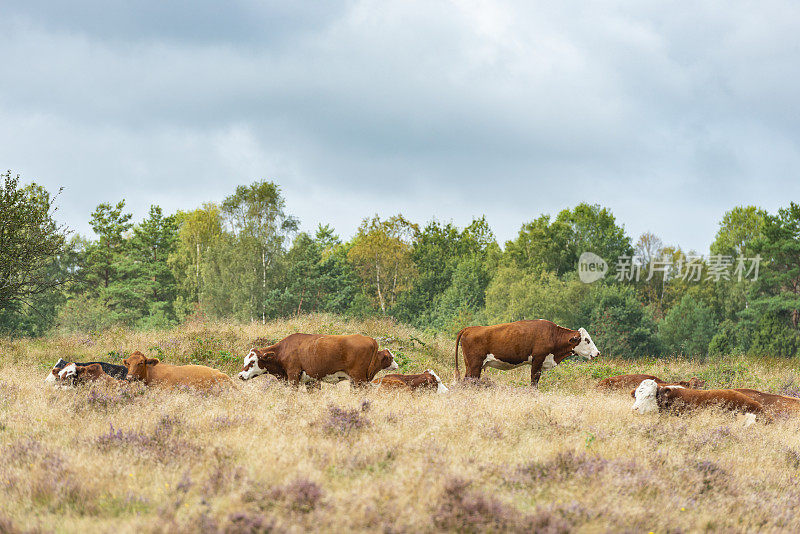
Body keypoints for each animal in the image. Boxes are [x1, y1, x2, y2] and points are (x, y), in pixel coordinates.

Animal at [238, 332, 400, 388]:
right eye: (245, 361)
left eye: (252, 362)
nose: (240, 375)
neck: (284, 350)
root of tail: (369, 339)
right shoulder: (311, 380)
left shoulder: (293, 376)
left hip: (359, 378)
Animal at [454, 320, 596, 388]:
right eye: (587, 340)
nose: (597, 352)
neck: (552, 335)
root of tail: (470, 328)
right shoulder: (537, 360)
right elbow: (534, 381)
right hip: (475, 365)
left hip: (470, 366)